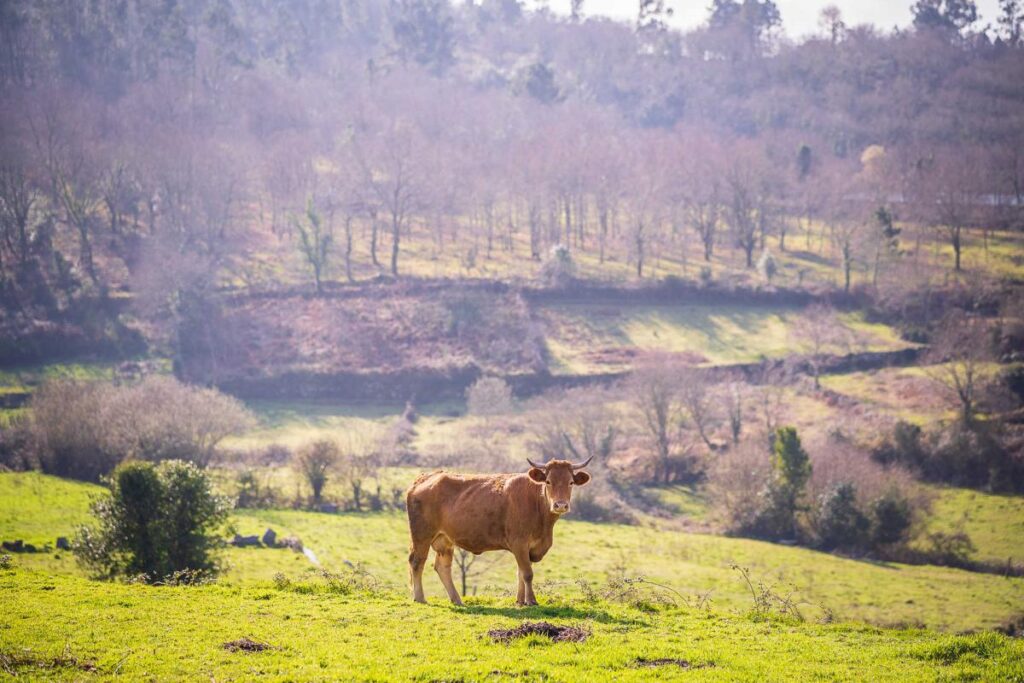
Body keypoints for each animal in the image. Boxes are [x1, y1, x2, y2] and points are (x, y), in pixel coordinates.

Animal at [401, 456, 593, 606]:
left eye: (570, 482)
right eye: (548, 481)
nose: (560, 505)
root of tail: (426, 477)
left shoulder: (525, 548)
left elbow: (520, 573)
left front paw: (520, 601)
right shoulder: (519, 543)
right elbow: (527, 573)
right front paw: (531, 601)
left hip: (444, 539)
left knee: (442, 567)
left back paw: (456, 599)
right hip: (422, 535)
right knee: (417, 561)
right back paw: (420, 598)